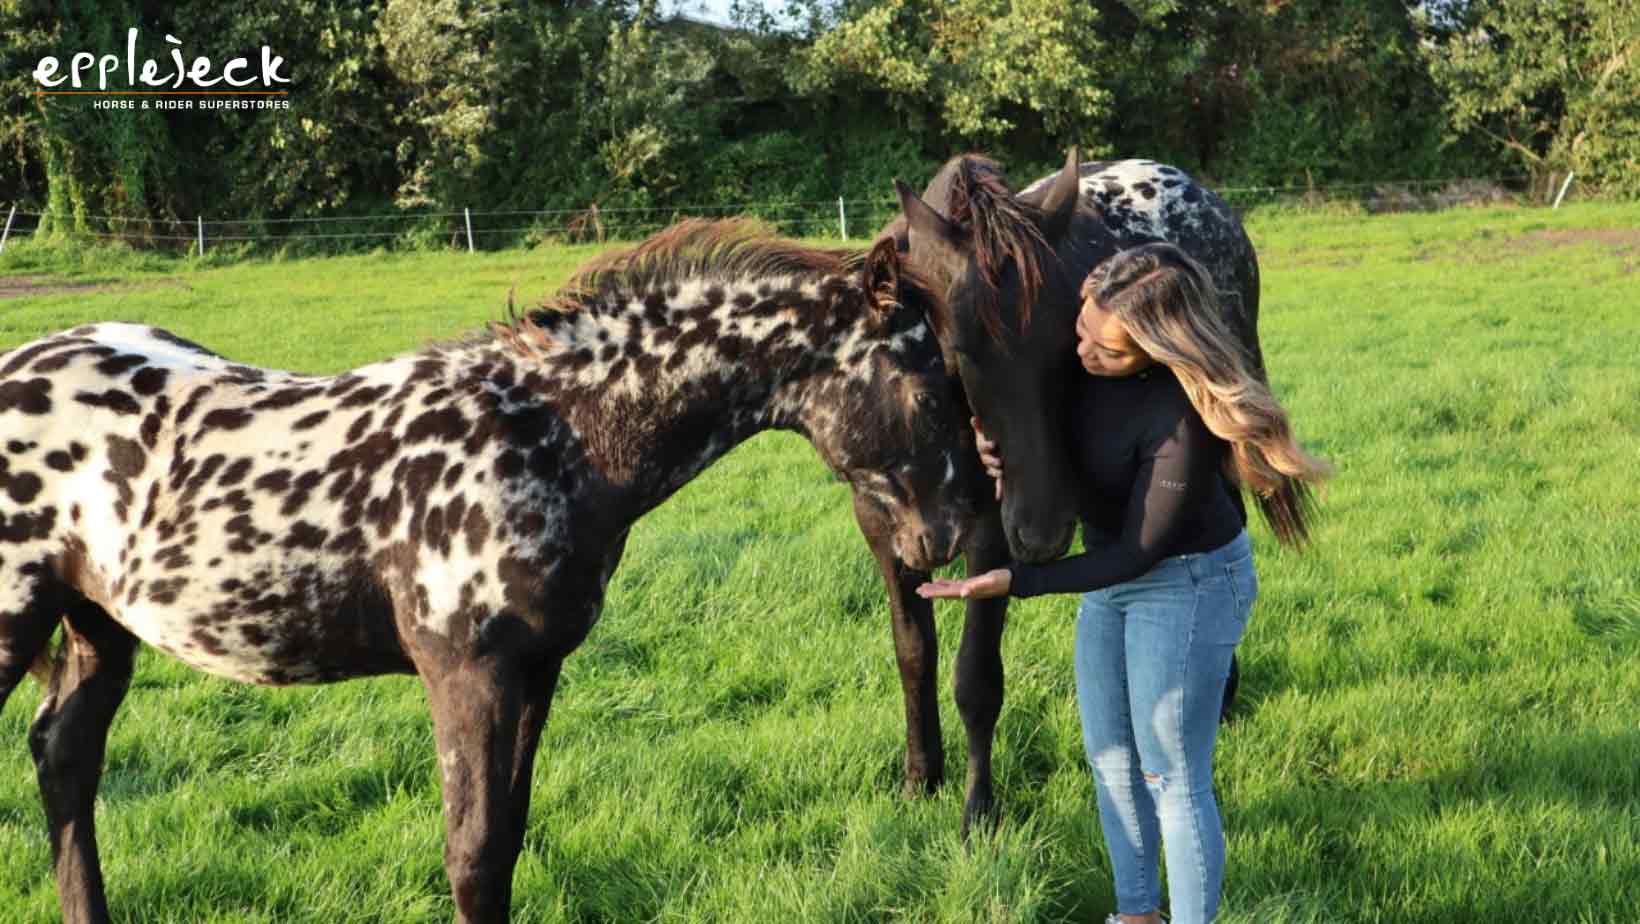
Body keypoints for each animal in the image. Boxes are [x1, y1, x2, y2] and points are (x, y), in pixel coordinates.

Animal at [0, 221, 970, 924]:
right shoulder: (466, 673)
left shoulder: (536, 668)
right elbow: (469, 857)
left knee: (65, 765)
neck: (552, 436)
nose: (947, 539)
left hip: (98, 630)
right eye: (930, 390)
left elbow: (506, 838)